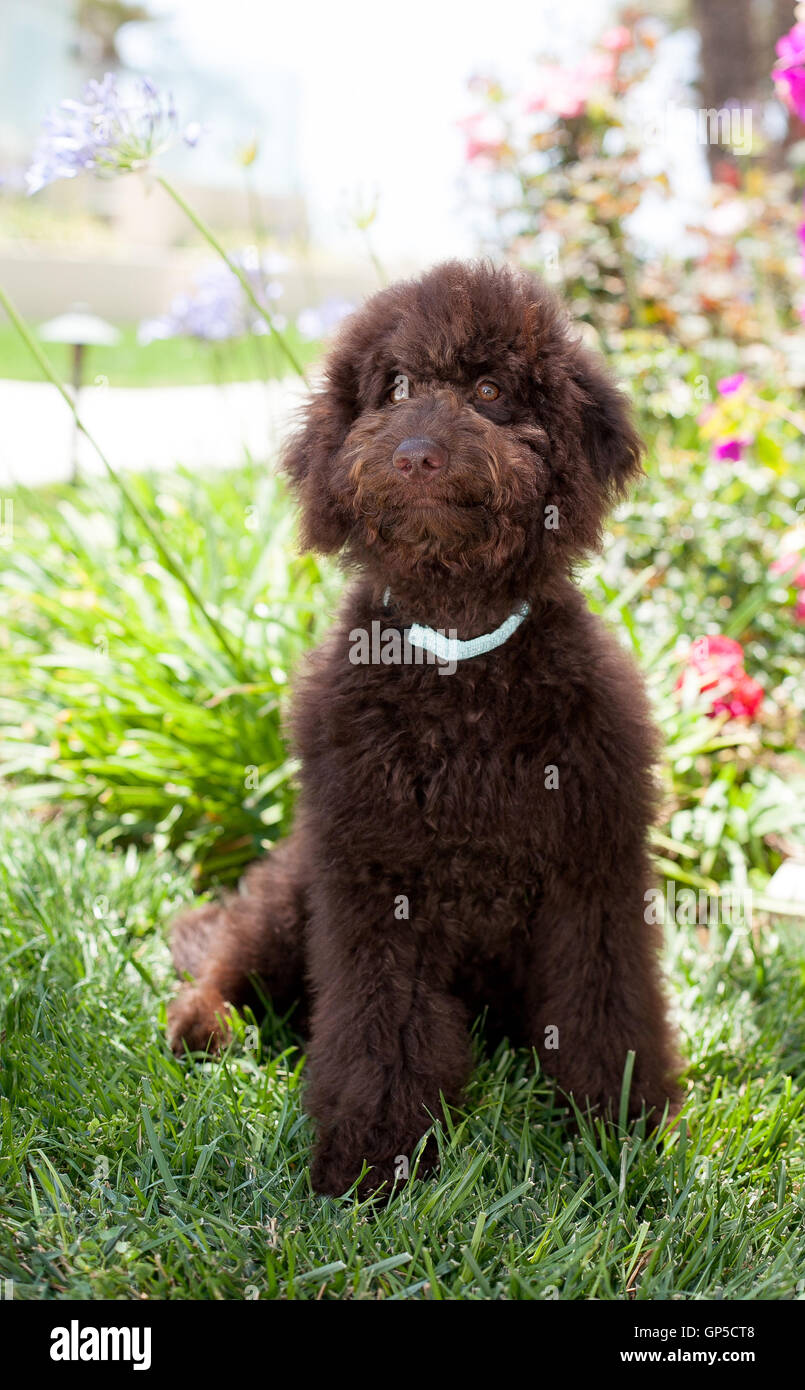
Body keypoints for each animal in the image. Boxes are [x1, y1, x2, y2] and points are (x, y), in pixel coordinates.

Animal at [168, 261, 681, 1195]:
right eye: (398, 387)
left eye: (489, 391)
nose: (415, 454)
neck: (459, 662)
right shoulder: (376, 881)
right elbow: (381, 1033)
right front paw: (372, 1166)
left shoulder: (592, 872)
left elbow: (603, 1012)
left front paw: (620, 1135)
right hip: (289, 898)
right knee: (223, 958)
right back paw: (203, 1026)